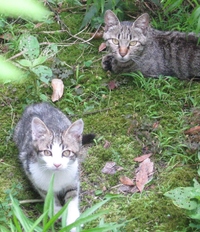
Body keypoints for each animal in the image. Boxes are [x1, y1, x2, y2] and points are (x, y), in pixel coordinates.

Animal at [13, 102, 93, 231]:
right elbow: (48, 196)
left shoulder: (73, 178)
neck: (56, 175)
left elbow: (72, 196)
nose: (57, 164)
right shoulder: (33, 174)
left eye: (66, 153)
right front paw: (56, 212)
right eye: (47, 152)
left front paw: (72, 221)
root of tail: (35, 104)